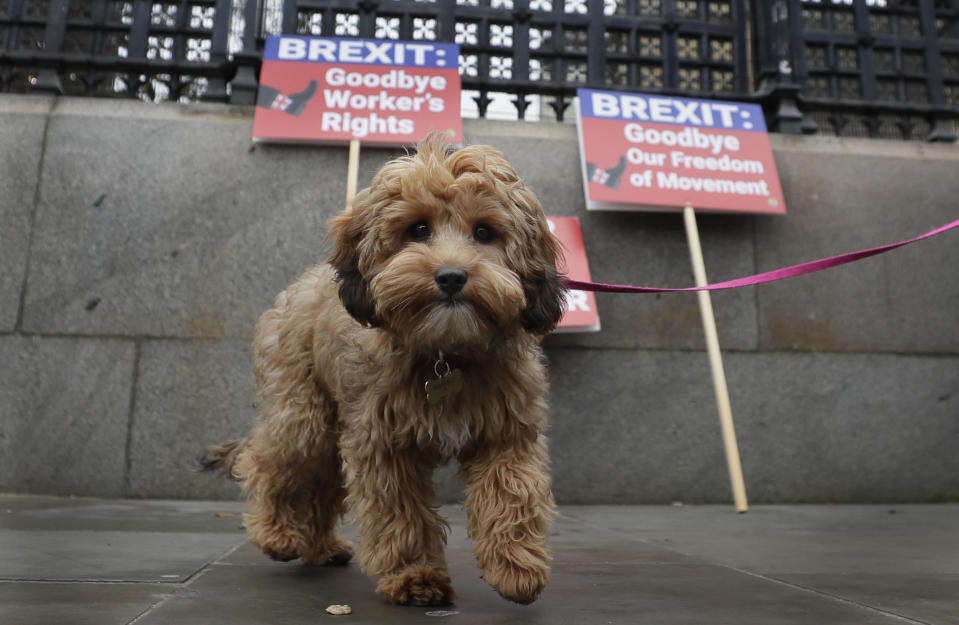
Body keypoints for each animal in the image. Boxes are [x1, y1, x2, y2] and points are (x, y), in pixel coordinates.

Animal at [202, 136, 564, 604]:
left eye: (485, 232)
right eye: (419, 229)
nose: (451, 277)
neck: (445, 353)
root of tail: (304, 282)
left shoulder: (505, 432)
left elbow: (512, 490)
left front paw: (517, 566)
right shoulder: (383, 442)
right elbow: (400, 512)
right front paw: (415, 575)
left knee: (320, 483)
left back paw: (321, 546)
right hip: (304, 414)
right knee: (269, 461)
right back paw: (276, 533)